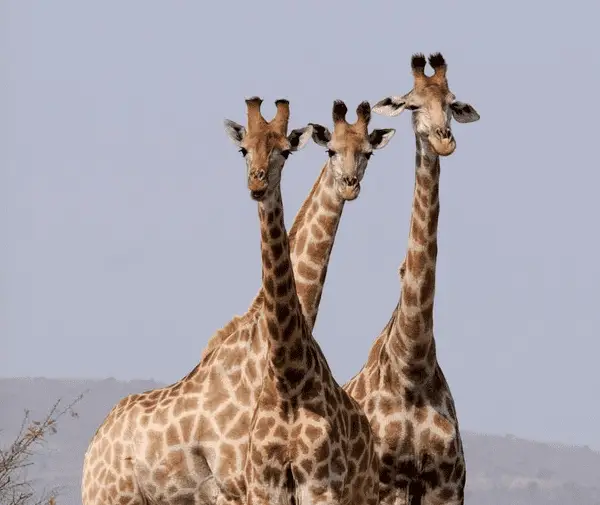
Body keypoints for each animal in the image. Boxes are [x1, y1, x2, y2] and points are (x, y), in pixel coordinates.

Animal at [79, 95, 392, 504]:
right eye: (331, 151)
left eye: (367, 152)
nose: (348, 186)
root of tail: (92, 447)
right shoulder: (237, 482)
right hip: (108, 495)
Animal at [344, 54, 480, 504]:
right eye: (413, 105)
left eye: (452, 104)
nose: (444, 141)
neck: (412, 363)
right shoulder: (388, 481)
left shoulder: (446, 483)